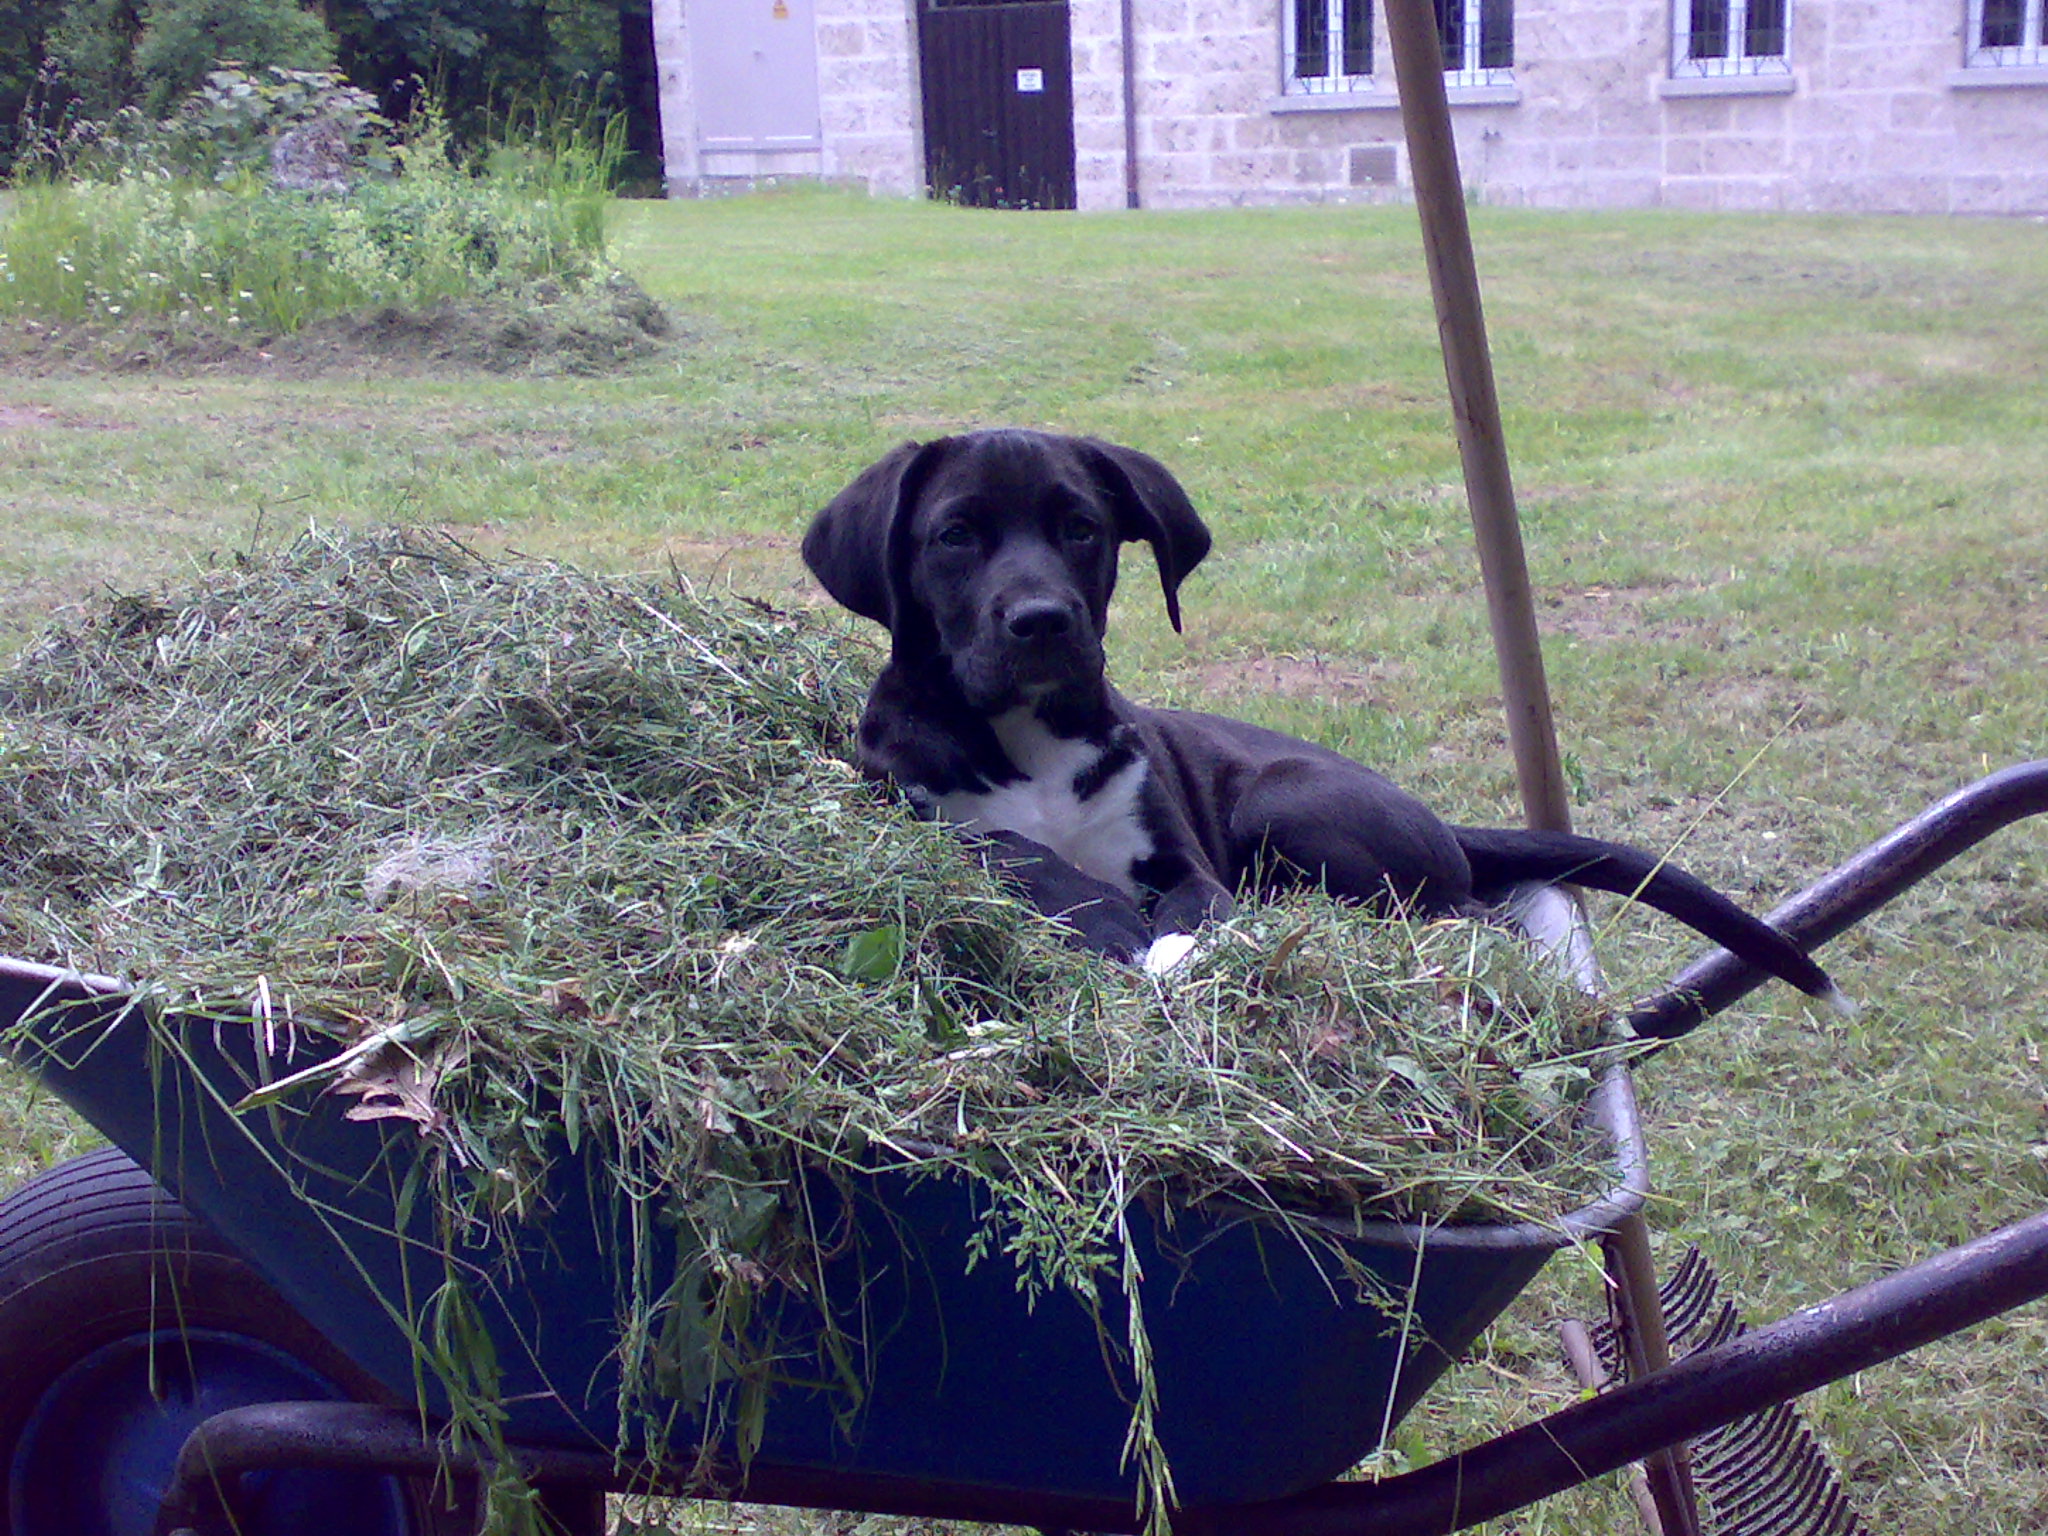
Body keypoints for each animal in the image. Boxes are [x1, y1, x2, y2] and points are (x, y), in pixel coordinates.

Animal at [802, 428, 1859, 1015]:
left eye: (1081, 530)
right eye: (955, 536)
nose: (1042, 622)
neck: (1032, 737)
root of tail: (1442, 821)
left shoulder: (1182, 851)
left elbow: (1196, 900)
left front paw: (1182, 948)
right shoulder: (915, 811)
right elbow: (1016, 855)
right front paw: (1108, 921)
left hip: (1282, 805)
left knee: (1470, 912)